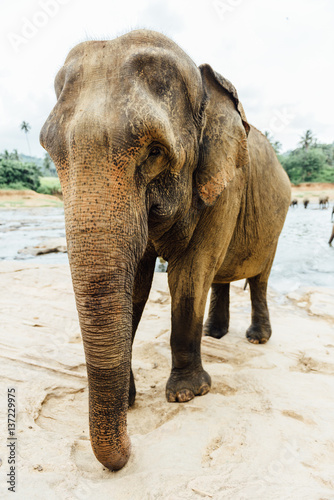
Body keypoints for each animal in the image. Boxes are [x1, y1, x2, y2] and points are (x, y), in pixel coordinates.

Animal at [38, 29, 290, 470]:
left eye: (154, 151)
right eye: (52, 153)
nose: (129, 454)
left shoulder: (225, 186)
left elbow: (189, 274)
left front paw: (188, 394)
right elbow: (137, 281)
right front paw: (131, 399)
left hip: (275, 222)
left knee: (258, 277)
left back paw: (256, 339)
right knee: (221, 277)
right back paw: (215, 334)